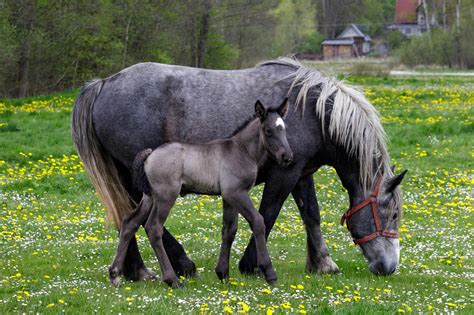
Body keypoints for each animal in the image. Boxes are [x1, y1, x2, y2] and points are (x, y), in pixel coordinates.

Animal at [109, 100, 292, 288]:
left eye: (284, 129)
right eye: (268, 130)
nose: (287, 156)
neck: (242, 150)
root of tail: (150, 154)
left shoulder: (228, 197)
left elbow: (229, 230)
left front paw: (223, 274)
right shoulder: (236, 193)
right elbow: (258, 221)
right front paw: (269, 272)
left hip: (149, 197)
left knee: (130, 222)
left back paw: (115, 274)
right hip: (166, 196)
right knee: (153, 227)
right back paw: (172, 280)